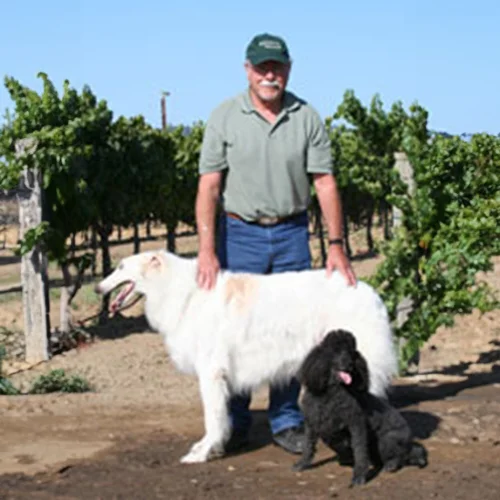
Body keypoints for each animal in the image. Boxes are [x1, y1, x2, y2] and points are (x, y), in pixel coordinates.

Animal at [95, 250, 396, 464]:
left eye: (120, 267)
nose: (98, 289)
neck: (182, 292)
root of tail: (367, 289)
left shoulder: (210, 373)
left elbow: (213, 419)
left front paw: (202, 453)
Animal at [292, 330, 426, 486]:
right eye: (336, 351)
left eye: (351, 353)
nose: (350, 364)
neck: (332, 393)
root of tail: (409, 443)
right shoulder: (312, 424)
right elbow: (308, 447)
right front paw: (302, 464)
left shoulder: (356, 424)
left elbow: (360, 451)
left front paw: (359, 476)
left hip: (387, 440)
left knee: (400, 456)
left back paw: (391, 465)